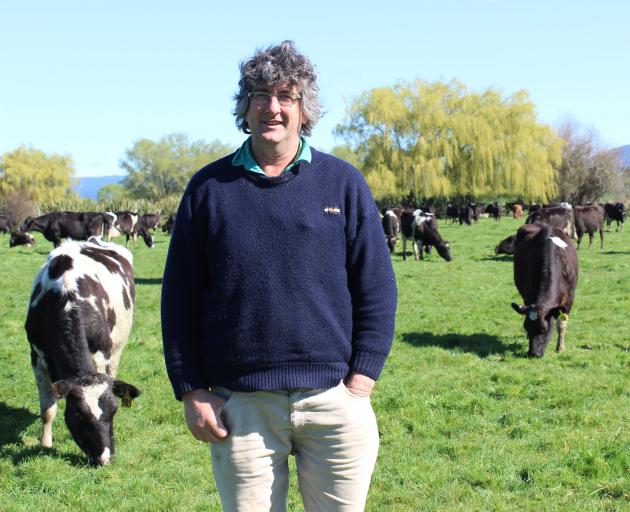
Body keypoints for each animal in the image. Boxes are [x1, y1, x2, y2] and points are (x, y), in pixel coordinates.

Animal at [25, 238, 141, 466]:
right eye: (79, 415)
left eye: (113, 411)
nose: (105, 458)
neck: (65, 297)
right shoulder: (37, 357)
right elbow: (47, 409)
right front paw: (45, 444)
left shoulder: (101, 354)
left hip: (117, 346)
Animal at [512, 224, 580, 356]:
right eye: (526, 326)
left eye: (544, 329)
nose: (533, 354)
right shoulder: (529, 297)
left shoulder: (569, 301)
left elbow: (562, 324)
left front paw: (560, 348)